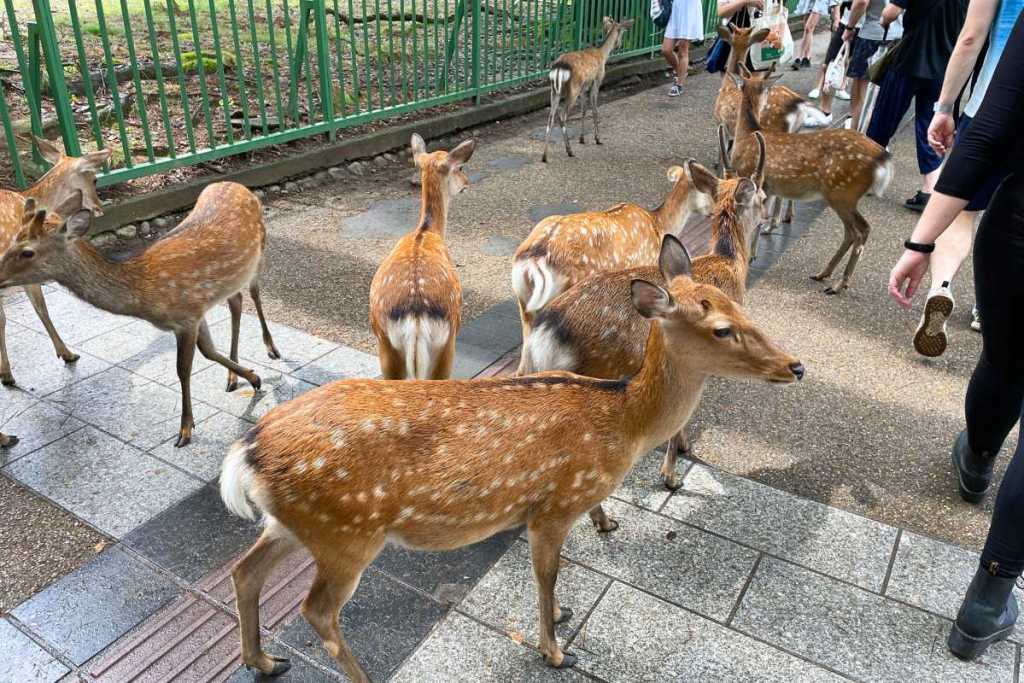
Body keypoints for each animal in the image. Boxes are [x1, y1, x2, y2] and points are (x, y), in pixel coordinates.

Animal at [0, 182, 281, 447]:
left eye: (27, 251)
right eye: (11, 241)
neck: (145, 293)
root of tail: (236, 185)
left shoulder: (186, 317)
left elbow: (183, 369)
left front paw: (185, 429)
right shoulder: (195, 312)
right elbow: (209, 352)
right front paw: (253, 377)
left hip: (261, 247)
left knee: (254, 292)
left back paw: (272, 349)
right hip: (232, 279)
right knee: (237, 301)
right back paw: (233, 377)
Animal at [220, 234, 803, 681]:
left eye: (739, 305)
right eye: (721, 328)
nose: (796, 366)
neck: (622, 421)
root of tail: (245, 452)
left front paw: (564, 615)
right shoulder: (553, 505)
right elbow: (547, 575)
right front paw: (556, 649)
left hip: (296, 523)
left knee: (244, 571)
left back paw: (263, 660)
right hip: (347, 534)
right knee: (316, 611)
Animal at [369, 134, 474, 380]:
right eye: (460, 167)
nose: (467, 183)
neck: (427, 231)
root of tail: (415, 318)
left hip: (385, 345)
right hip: (447, 343)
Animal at [541, 17, 634, 163]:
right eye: (623, 32)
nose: (618, 45)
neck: (602, 55)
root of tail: (559, 67)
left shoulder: (584, 88)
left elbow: (584, 110)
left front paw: (582, 139)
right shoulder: (597, 80)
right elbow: (595, 109)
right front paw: (597, 139)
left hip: (554, 91)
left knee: (551, 117)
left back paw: (545, 156)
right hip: (573, 89)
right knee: (562, 115)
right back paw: (569, 151)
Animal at [730, 66, 892, 294]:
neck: (747, 134)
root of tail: (882, 160)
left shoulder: (746, 174)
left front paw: (748, 255)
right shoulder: (768, 187)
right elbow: (760, 219)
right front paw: (755, 250)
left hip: (842, 193)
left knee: (860, 230)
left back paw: (838, 284)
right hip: (844, 196)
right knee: (854, 232)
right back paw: (824, 274)